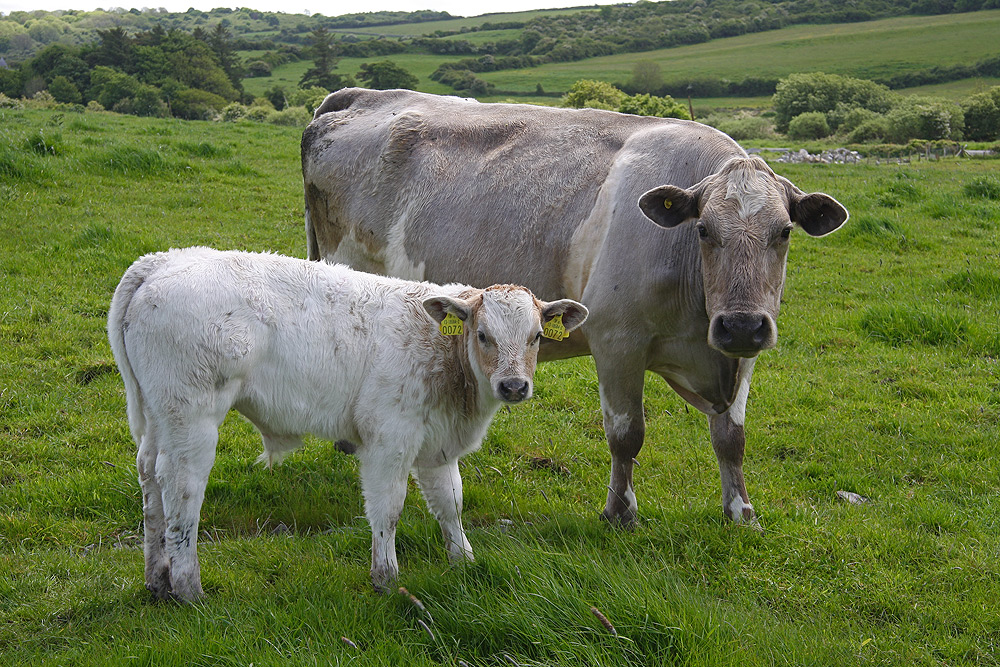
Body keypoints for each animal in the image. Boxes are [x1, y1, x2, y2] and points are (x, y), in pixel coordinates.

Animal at [107, 248, 584, 604]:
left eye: (536, 337)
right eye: (483, 335)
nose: (513, 386)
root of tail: (161, 261)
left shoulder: (437, 446)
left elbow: (451, 504)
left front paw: (462, 561)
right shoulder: (388, 440)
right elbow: (388, 509)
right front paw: (387, 578)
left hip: (158, 415)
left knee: (149, 480)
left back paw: (157, 578)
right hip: (192, 416)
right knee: (181, 488)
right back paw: (189, 588)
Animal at [296, 87, 844, 528]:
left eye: (784, 232)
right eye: (705, 230)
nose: (742, 325)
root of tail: (359, 95)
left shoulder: (739, 353)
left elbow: (731, 437)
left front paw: (741, 512)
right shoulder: (618, 341)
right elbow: (626, 434)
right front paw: (620, 512)